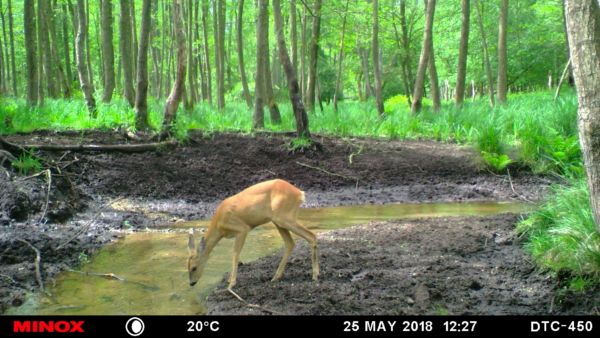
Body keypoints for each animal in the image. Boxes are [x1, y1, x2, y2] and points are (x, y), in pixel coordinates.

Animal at [186, 178, 318, 292]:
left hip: (284, 217)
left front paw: (231, 283)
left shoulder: (242, 228)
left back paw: (315, 275)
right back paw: (276, 277)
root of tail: (300, 193)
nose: (191, 283)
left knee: (311, 235)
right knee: (290, 243)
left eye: (194, 267)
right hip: (278, 220)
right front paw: (230, 280)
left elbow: (235, 253)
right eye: (187, 266)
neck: (219, 225)